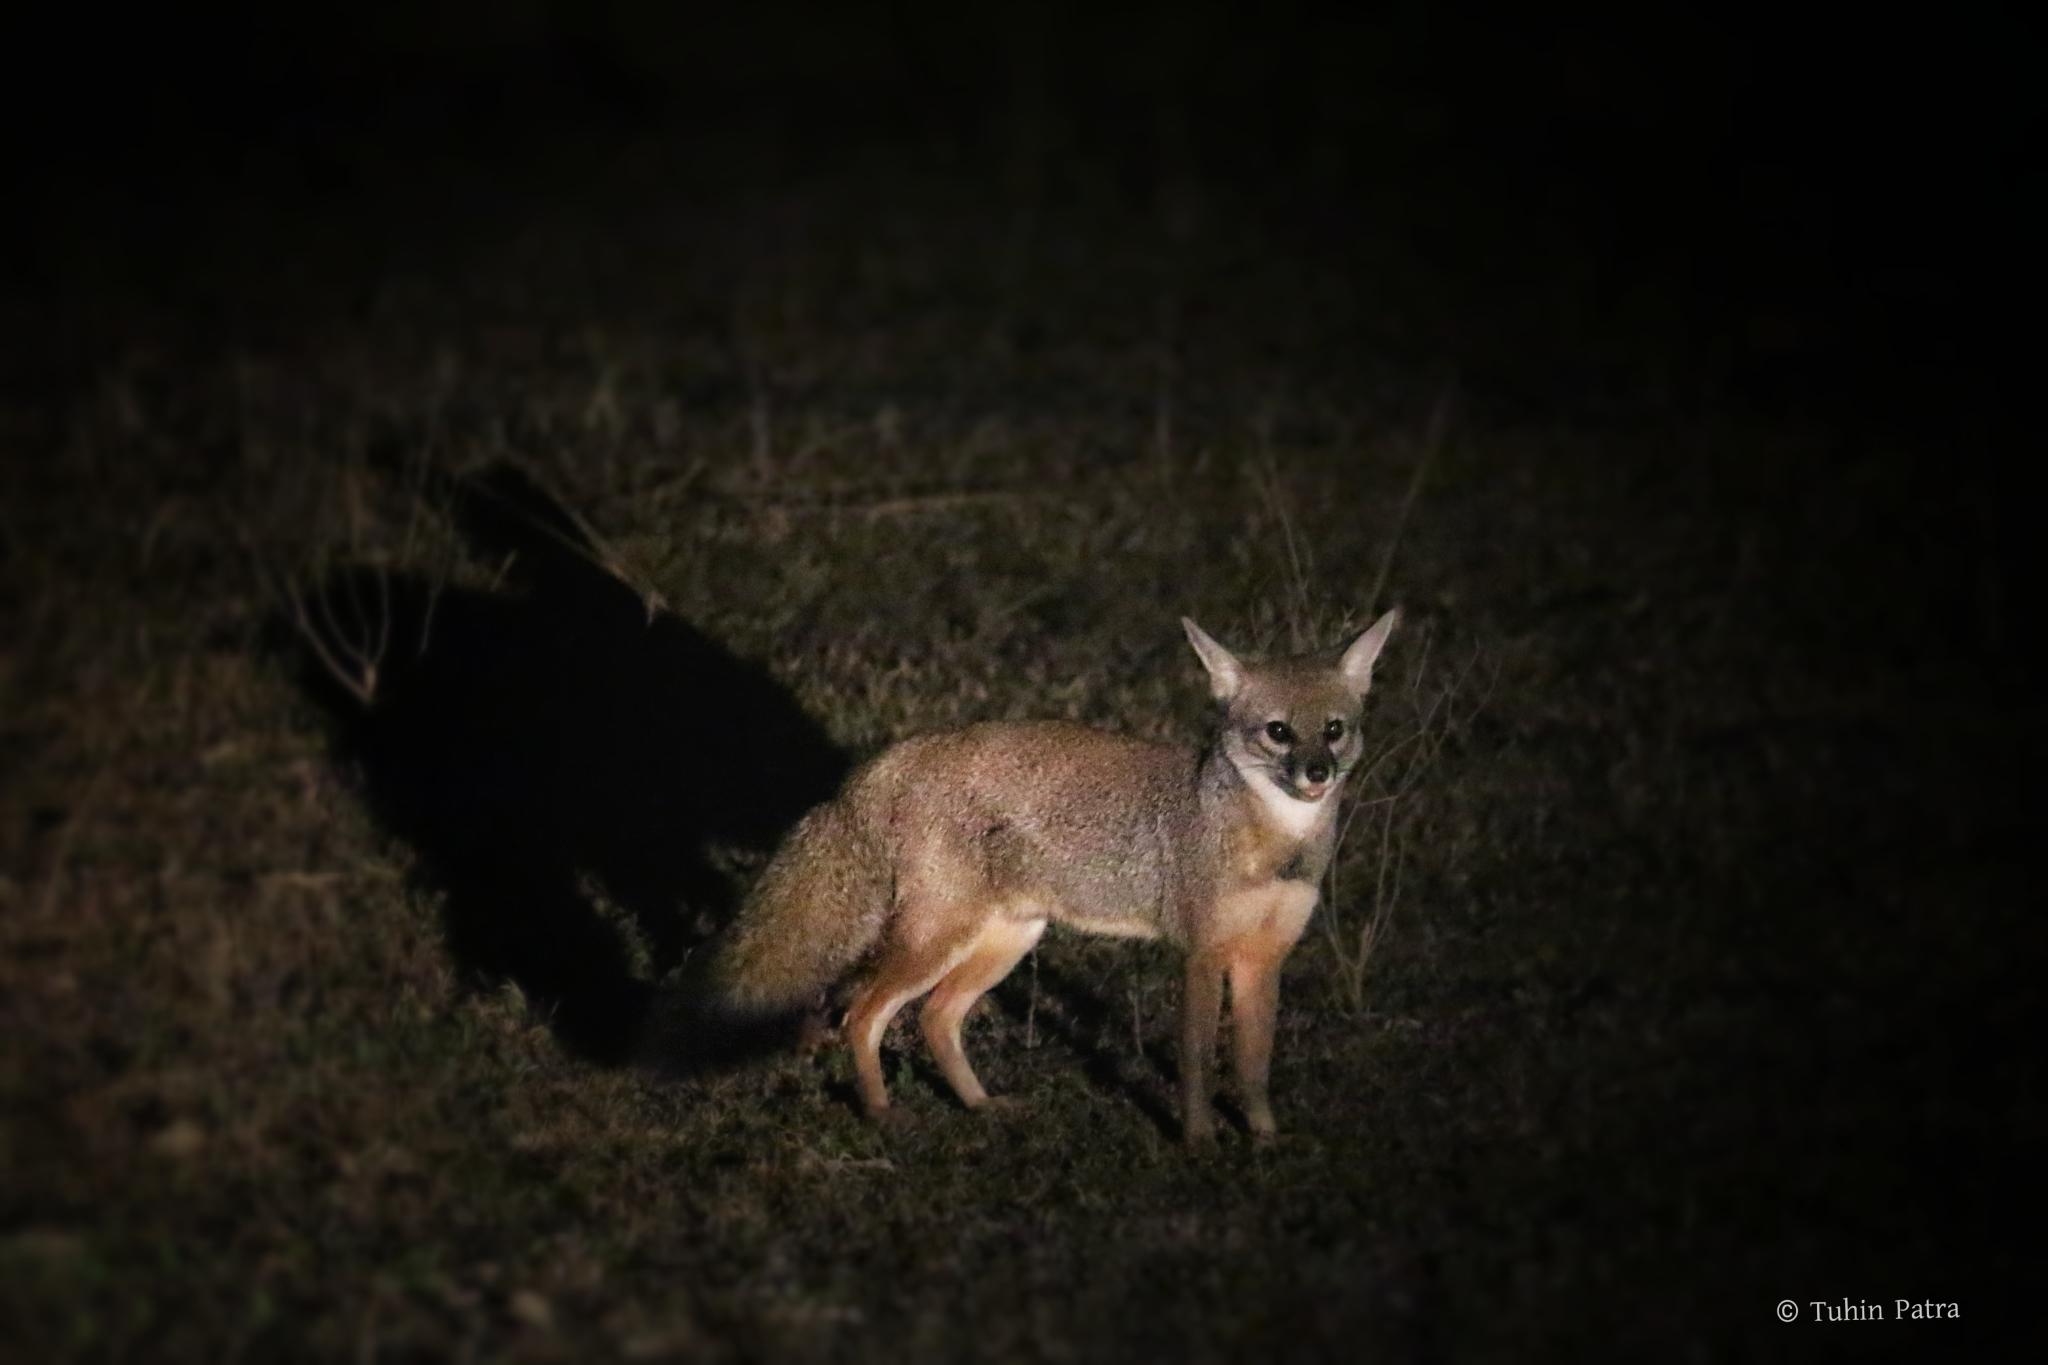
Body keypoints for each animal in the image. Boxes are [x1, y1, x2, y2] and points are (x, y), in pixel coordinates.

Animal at [695, 609, 1400, 1144]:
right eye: (1277, 732)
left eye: (1333, 731)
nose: (1317, 774)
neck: (1277, 846)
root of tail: (889, 759)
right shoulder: (1202, 954)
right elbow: (1199, 1061)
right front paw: (1199, 1142)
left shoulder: (1263, 958)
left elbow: (1254, 1064)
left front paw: (1264, 1140)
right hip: (936, 942)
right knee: (862, 1016)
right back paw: (881, 1112)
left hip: (1005, 942)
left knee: (935, 1019)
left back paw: (980, 1106)